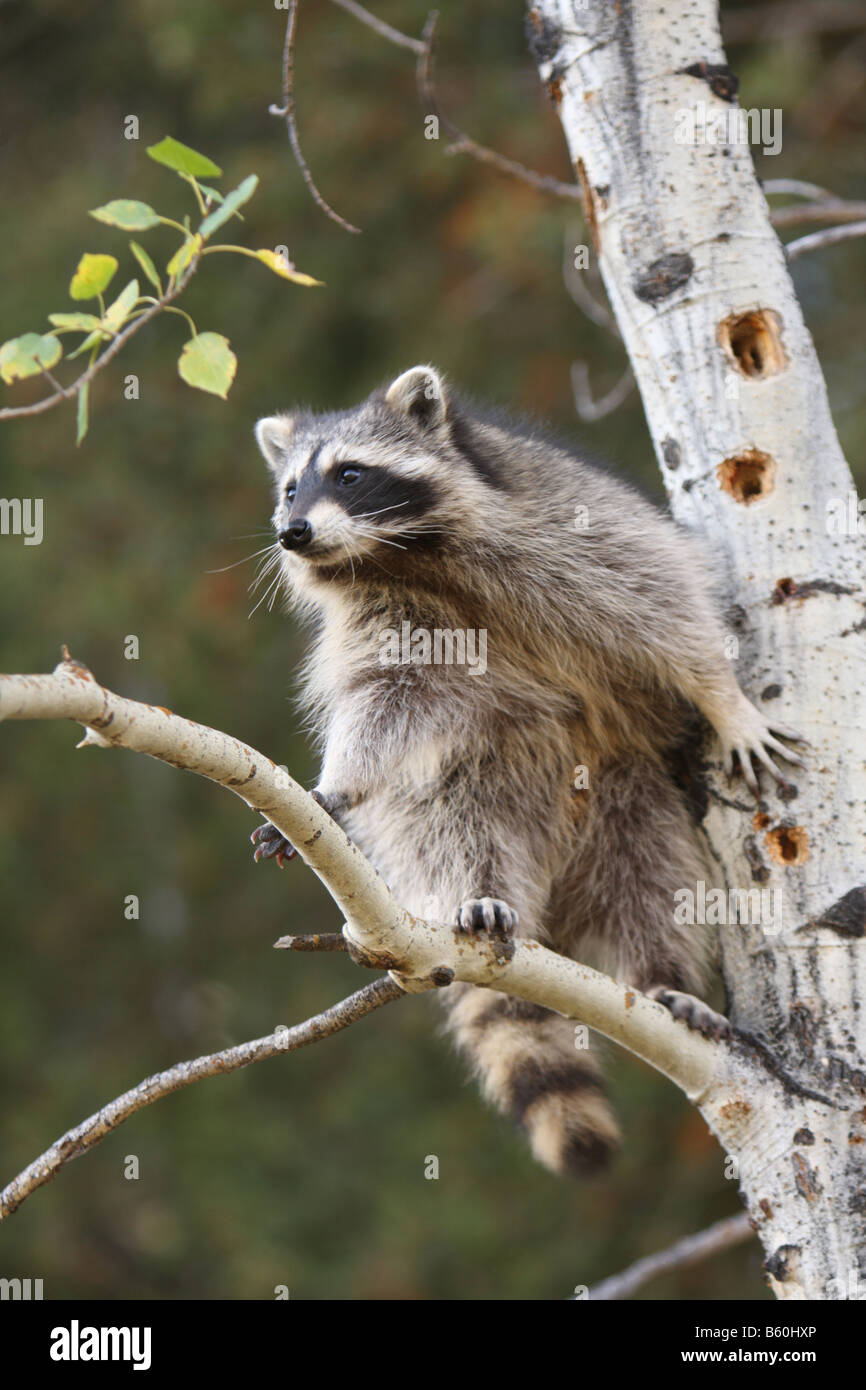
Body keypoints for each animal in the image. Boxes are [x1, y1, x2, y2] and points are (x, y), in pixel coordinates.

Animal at [250, 364, 806, 1178]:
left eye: (349, 474)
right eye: (290, 487)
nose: (292, 533)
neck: (398, 553)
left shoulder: (571, 524)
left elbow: (669, 614)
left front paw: (725, 699)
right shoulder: (388, 616)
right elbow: (387, 701)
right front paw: (335, 784)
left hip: (628, 782)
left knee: (651, 874)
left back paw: (662, 977)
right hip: (487, 785)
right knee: (456, 819)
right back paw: (484, 895)